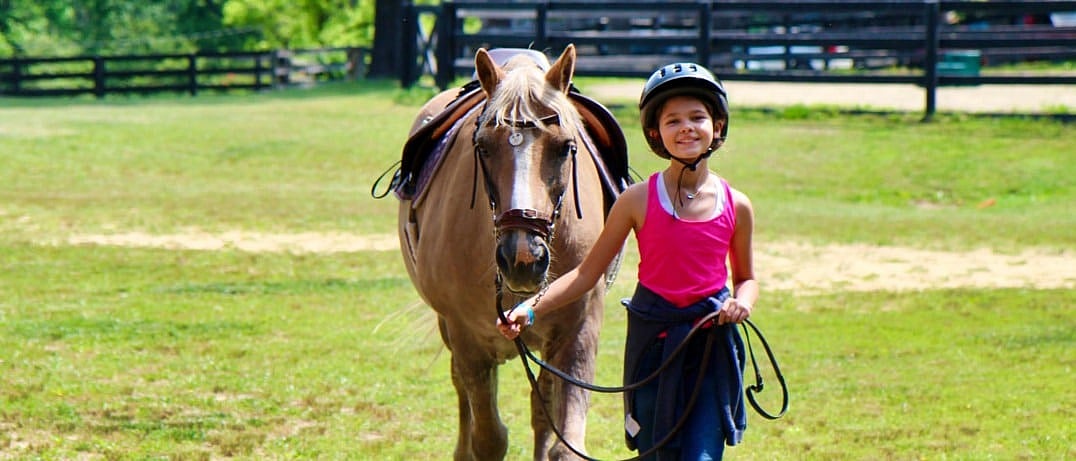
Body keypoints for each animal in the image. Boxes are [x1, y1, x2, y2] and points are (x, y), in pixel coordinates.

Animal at [393, 45, 630, 460]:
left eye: (567, 148)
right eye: (483, 147)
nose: (523, 259)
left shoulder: (578, 334)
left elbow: (564, 443)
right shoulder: (468, 340)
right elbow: (489, 438)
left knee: (541, 409)